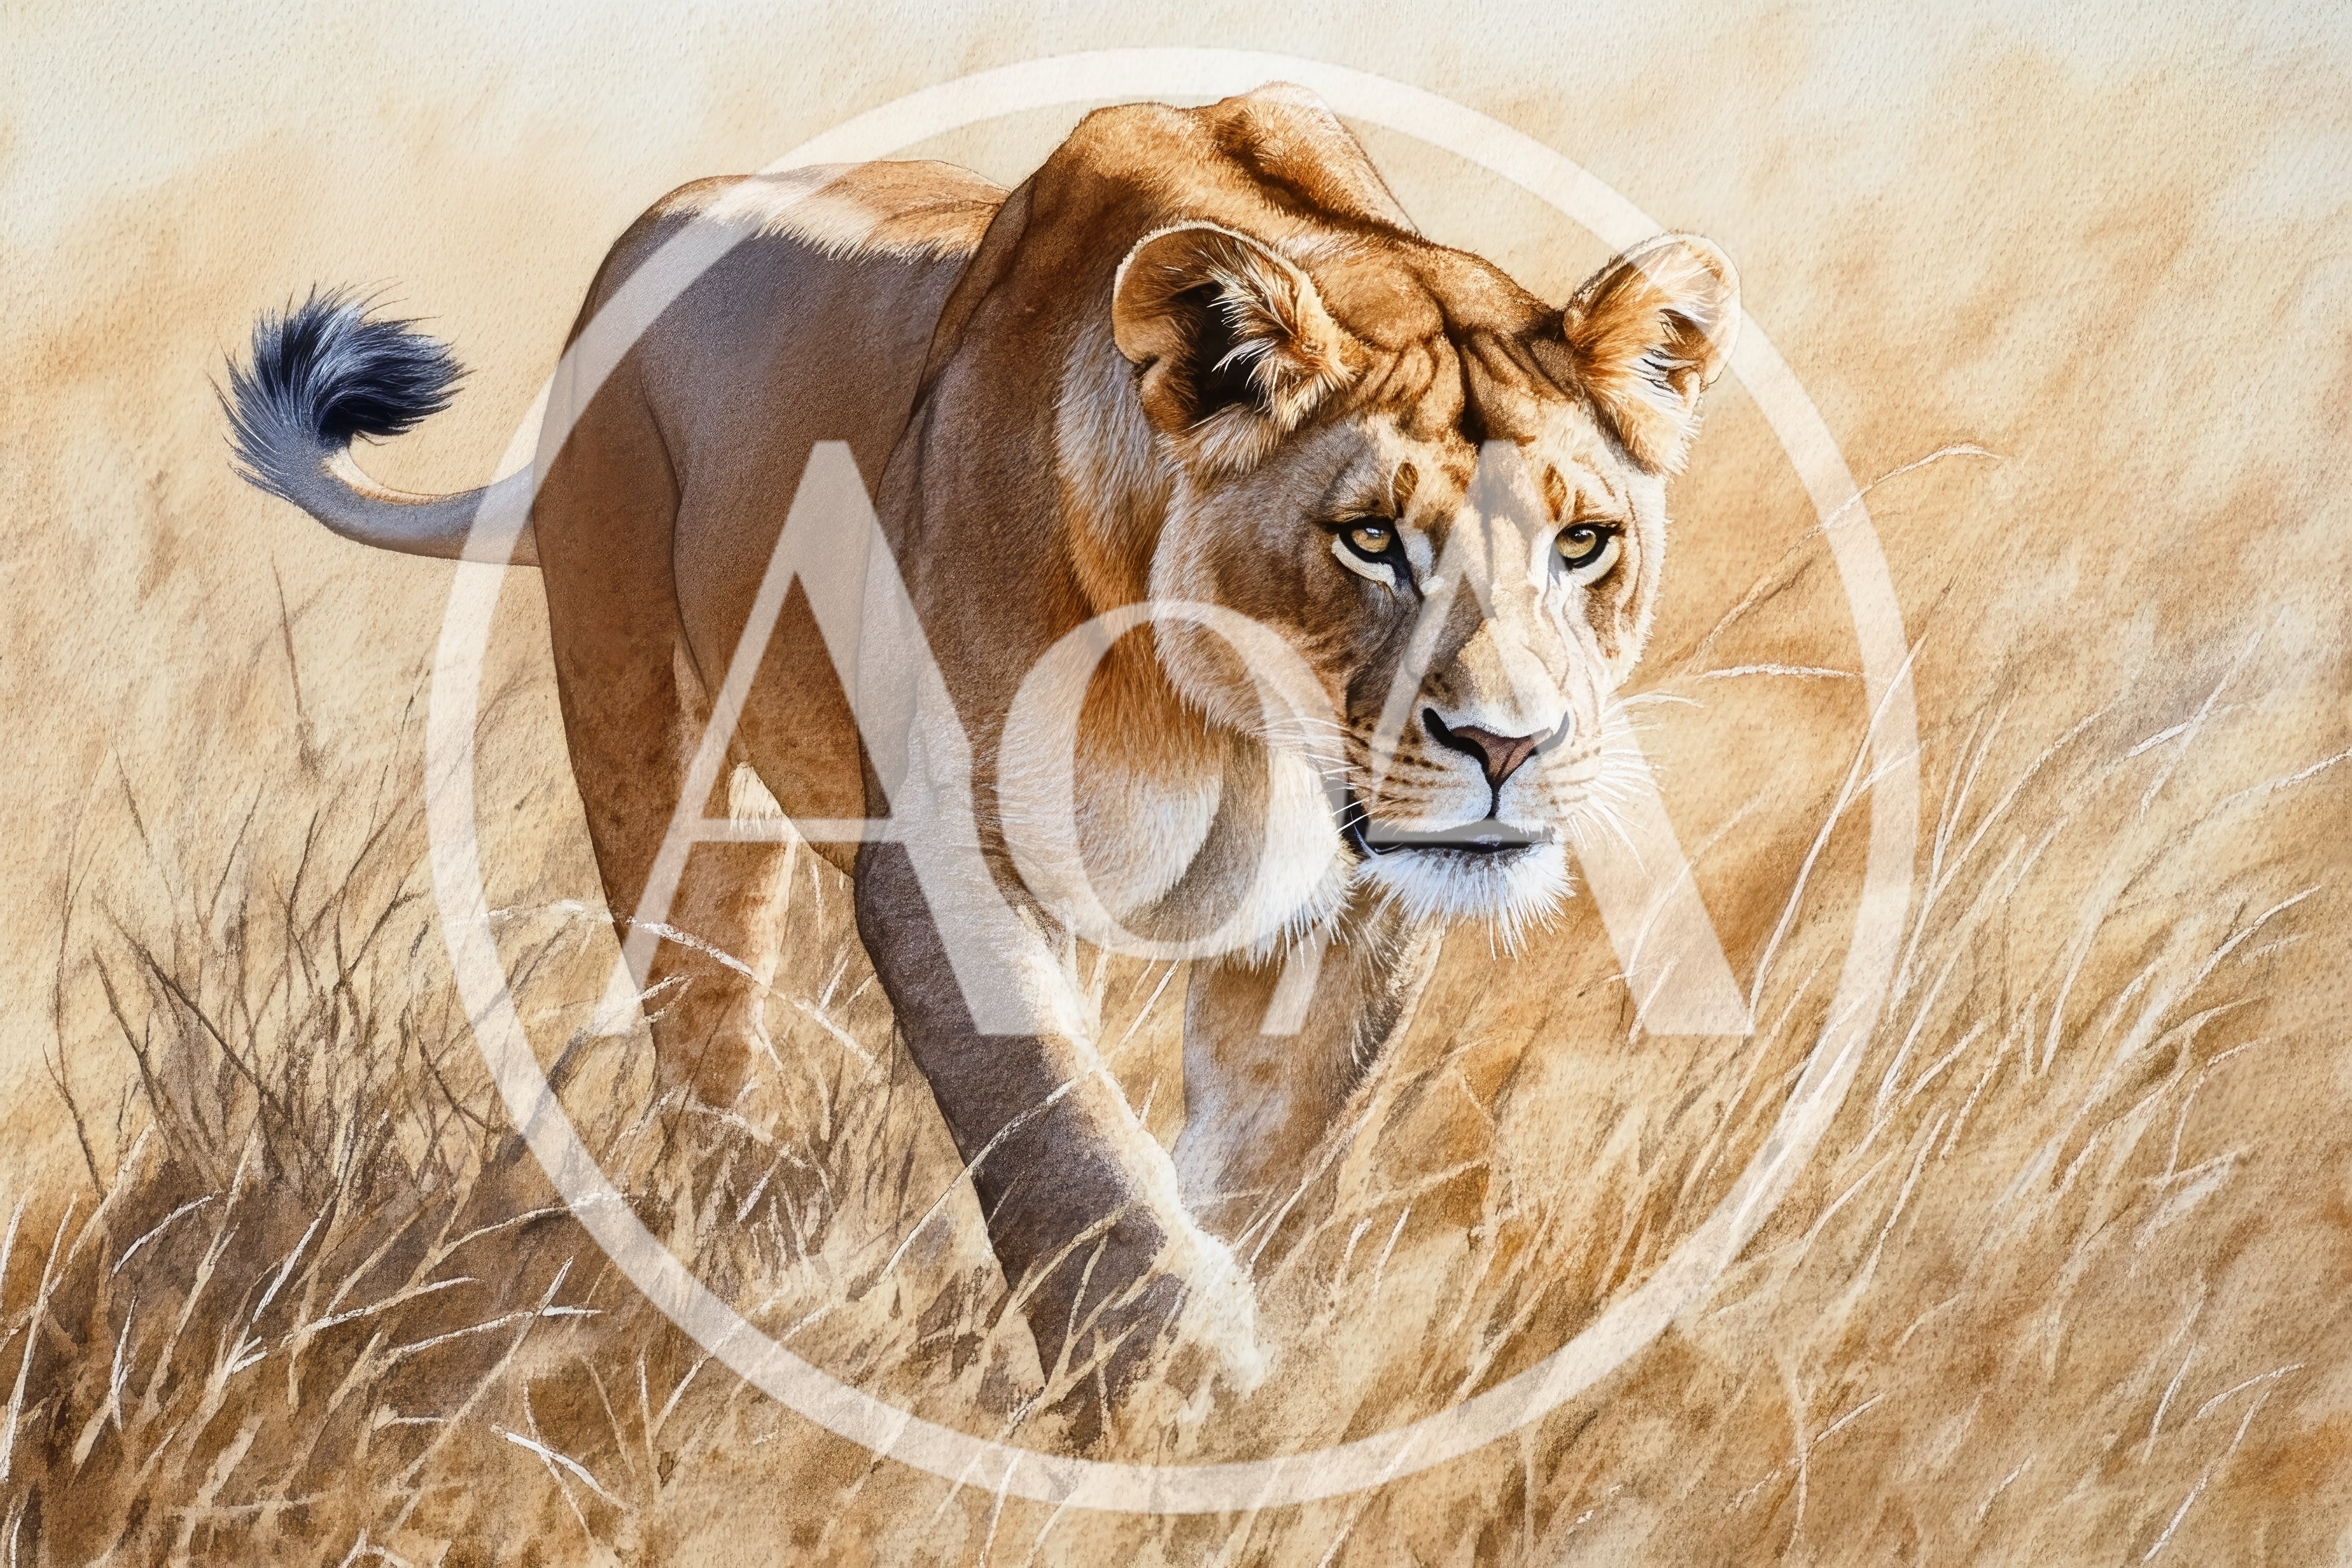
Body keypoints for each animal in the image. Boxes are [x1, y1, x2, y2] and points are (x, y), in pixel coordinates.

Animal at [225, 83, 1737, 1426]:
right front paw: (1171, 1386)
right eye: (1369, 538)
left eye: (1583, 541)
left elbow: (1265, 1157)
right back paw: (751, 1275)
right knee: (705, 1020)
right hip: (649, 737)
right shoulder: (948, 863)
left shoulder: (1341, 910)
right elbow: (1064, 1130)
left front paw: (1239, 1383)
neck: (1221, 717)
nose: (1507, 745)